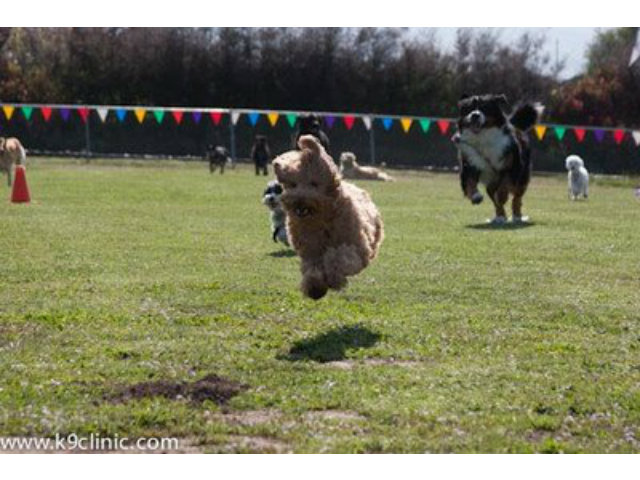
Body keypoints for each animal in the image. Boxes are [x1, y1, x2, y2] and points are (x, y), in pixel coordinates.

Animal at [272, 135, 382, 300]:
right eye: (293, 184)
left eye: (314, 183)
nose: (298, 200)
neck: (321, 219)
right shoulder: (310, 251)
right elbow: (312, 268)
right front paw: (315, 288)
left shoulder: (355, 246)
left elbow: (338, 259)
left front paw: (333, 277)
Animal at [452, 94, 544, 225]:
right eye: (469, 109)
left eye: (485, 108)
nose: (475, 115)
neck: (483, 138)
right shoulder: (470, 162)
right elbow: (470, 182)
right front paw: (476, 196)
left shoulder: (510, 167)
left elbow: (503, 187)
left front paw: (502, 196)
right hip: (492, 182)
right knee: (495, 198)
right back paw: (500, 217)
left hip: (522, 177)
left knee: (517, 197)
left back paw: (517, 216)